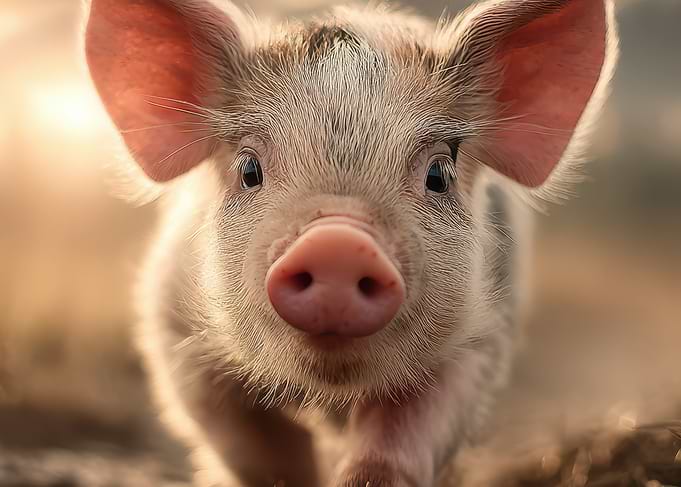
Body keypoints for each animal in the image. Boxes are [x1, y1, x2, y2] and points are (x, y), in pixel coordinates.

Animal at [82, 0, 618, 486]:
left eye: (439, 174)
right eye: (249, 169)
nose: (337, 244)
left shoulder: (481, 340)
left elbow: (402, 440)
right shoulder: (173, 330)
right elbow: (254, 448)